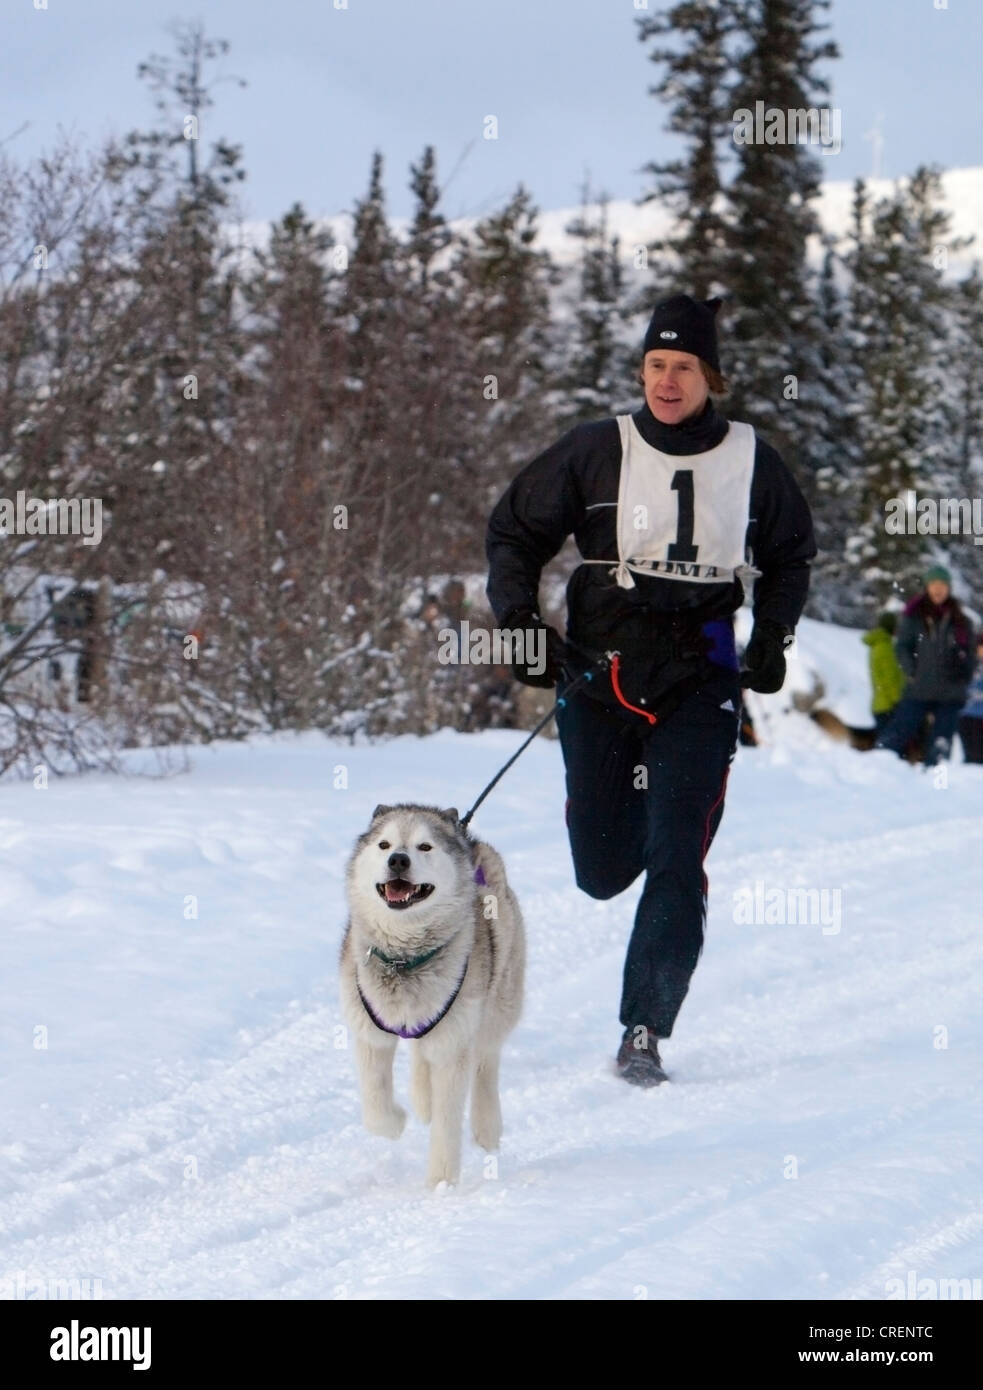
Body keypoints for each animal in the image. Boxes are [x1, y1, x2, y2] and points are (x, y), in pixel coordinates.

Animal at [340, 806, 525, 1184]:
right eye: (384, 844)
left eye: (425, 846)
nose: (398, 860)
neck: (403, 959)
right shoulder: (369, 1032)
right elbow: (375, 1107)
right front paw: (396, 1122)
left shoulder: (454, 1045)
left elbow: (447, 1120)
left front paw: (441, 1183)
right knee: (421, 1055)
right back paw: (422, 1100)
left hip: (496, 1006)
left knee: (486, 1061)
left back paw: (486, 1126)